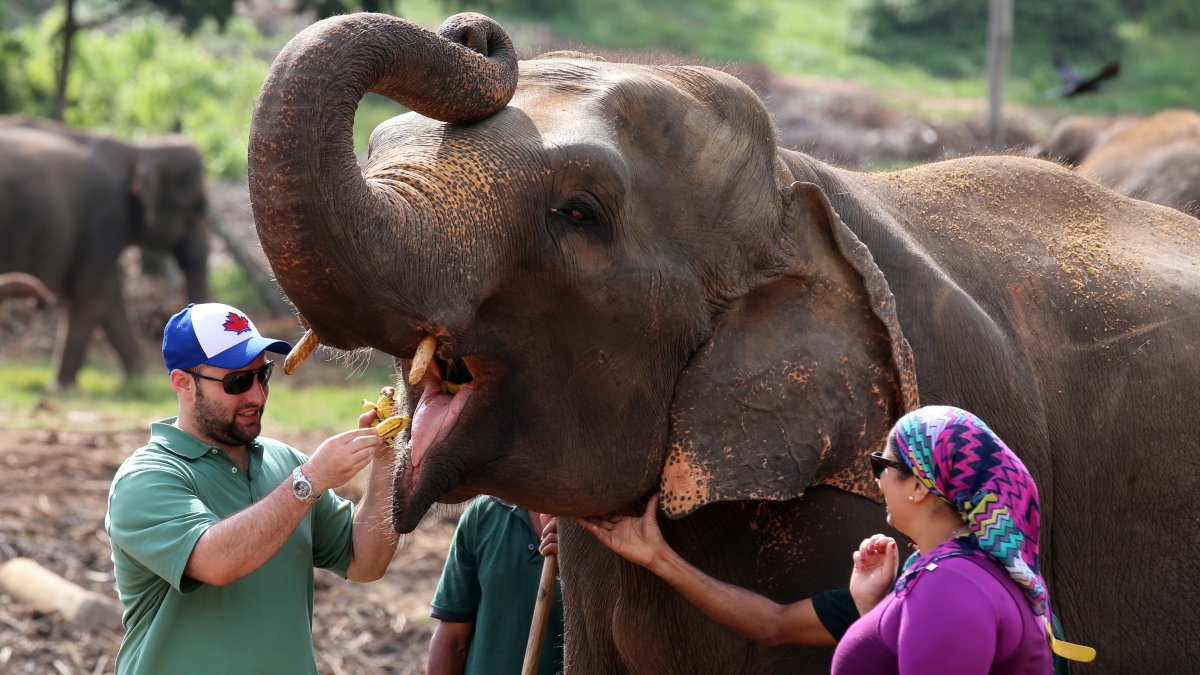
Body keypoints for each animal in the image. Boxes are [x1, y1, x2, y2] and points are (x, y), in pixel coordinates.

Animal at [0, 117, 209, 388]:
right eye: (194, 212)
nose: (43, 301)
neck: (139, 150)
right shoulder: (105, 220)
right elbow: (91, 292)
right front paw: (62, 387)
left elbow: (109, 296)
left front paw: (139, 380)